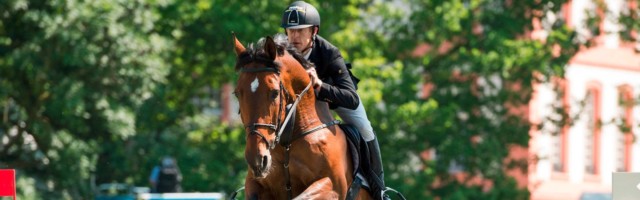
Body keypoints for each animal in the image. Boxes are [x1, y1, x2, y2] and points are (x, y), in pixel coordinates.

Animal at [232, 34, 372, 200]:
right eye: (237, 93)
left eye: (275, 93)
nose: (257, 160)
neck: (287, 142)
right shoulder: (255, 184)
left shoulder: (333, 185)